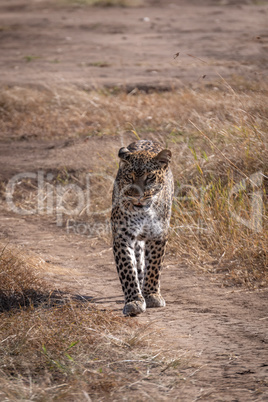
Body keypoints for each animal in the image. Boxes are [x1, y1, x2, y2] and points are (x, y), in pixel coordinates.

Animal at [110, 140, 174, 316]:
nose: (138, 195)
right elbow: (127, 270)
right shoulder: (122, 237)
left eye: (150, 177)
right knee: (138, 262)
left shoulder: (158, 236)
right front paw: (134, 301)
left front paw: (151, 295)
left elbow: (154, 267)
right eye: (129, 177)